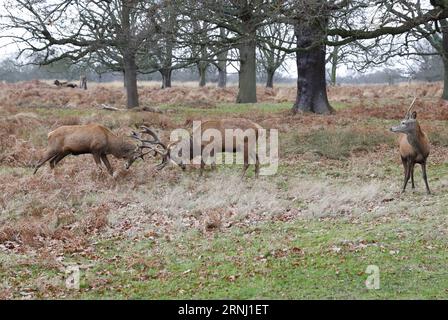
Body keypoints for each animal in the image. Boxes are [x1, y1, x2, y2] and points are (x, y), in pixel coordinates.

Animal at [135, 119, 264, 178]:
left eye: (176, 156)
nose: (183, 167)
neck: (196, 142)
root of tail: (257, 128)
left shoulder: (208, 147)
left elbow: (203, 163)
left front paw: (200, 177)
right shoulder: (213, 150)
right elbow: (212, 165)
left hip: (245, 144)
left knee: (247, 162)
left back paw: (240, 178)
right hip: (251, 146)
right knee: (257, 159)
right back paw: (256, 178)